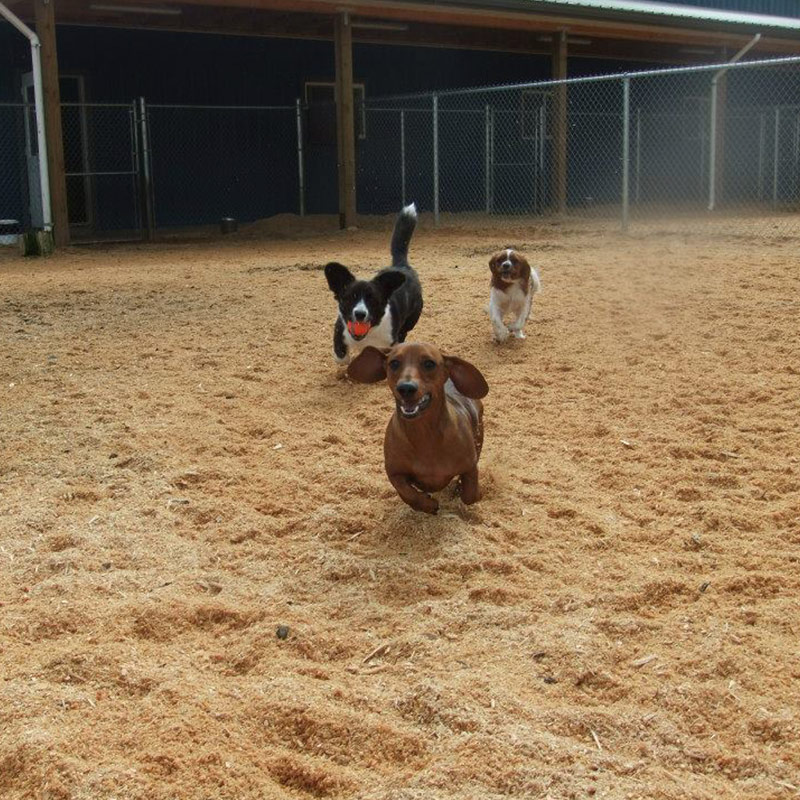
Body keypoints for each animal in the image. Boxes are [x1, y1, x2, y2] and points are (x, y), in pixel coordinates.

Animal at [324, 202, 424, 364]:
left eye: (373, 300)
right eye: (349, 298)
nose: (359, 314)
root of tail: (401, 265)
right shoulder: (340, 333)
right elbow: (341, 357)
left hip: (410, 322)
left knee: (403, 334)